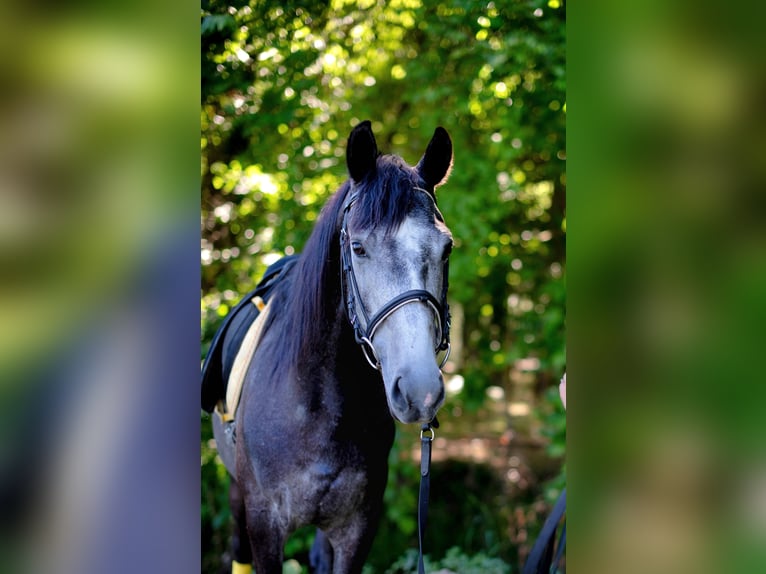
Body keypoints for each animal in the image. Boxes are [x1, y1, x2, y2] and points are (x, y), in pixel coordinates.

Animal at [207, 121, 452, 574]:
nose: (420, 390)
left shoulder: (358, 529)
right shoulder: (264, 525)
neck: (318, 404)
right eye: (357, 247)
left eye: (446, 249)